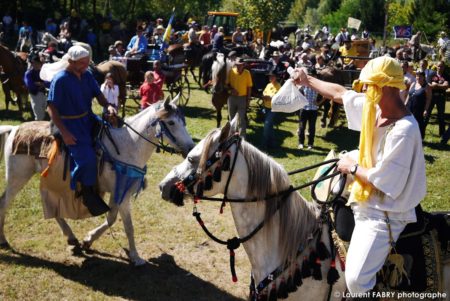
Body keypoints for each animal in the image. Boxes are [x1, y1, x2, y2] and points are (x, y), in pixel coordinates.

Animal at [0, 96, 194, 264]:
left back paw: (72, 238)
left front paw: (89, 240)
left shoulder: (118, 193)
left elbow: (112, 218)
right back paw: (4, 240)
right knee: (4, 203)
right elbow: (128, 226)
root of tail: (14, 129)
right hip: (18, 178)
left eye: (183, 121)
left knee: (52, 207)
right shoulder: (123, 194)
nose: (191, 148)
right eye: (171, 122)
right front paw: (136, 257)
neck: (128, 146)